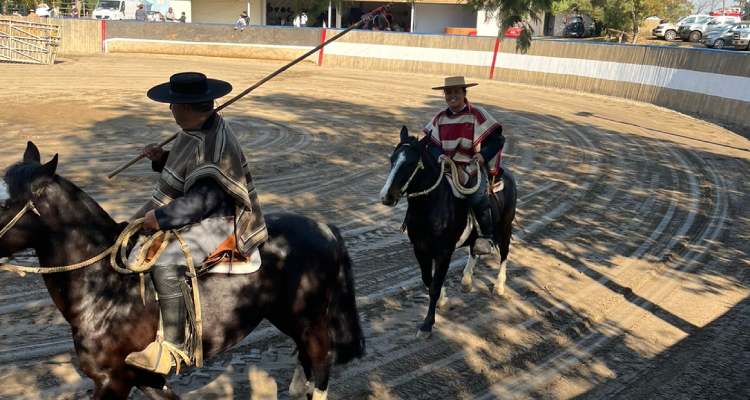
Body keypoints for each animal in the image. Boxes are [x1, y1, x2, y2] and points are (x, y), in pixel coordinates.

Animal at [0, 142, 366, 398]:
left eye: (5, 202)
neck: (105, 288)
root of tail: (325, 227)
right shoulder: (145, 380)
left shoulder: (112, 381)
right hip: (286, 317)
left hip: (310, 319)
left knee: (320, 364)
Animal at [382, 127, 516, 338]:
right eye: (392, 159)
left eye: (411, 163)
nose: (387, 196)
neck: (431, 207)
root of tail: (507, 175)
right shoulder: (420, 249)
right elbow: (428, 280)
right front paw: (443, 300)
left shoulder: (444, 252)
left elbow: (435, 286)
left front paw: (427, 324)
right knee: (474, 250)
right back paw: (467, 280)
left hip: (505, 228)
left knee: (504, 254)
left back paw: (499, 286)